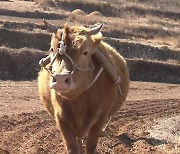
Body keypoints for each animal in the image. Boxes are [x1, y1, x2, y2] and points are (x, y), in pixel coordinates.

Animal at [38, 19, 129, 153]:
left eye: (85, 52)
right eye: (52, 49)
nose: (60, 79)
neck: (78, 101)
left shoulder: (101, 118)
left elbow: (91, 145)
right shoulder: (60, 118)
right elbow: (72, 147)